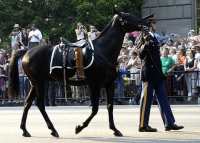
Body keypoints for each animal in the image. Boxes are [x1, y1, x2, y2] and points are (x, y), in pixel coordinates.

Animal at [8, 11, 152, 137]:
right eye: (129, 16)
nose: (147, 21)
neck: (102, 51)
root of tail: (27, 51)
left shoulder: (109, 84)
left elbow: (110, 106)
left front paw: (115, 129)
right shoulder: (94, 84)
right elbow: (95, 109)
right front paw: (80, 127)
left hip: (35, 83)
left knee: (27, 103)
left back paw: (25, 130)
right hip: (39, 83)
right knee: (39, 104)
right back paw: (52, 130)